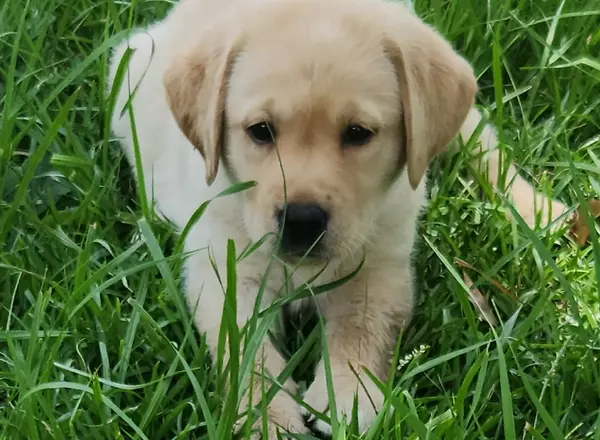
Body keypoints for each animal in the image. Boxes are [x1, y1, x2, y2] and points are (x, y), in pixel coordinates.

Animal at [109, 0, 572, 434]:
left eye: (358, 134)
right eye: (260, 131)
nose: (301, 221)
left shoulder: (383, 265)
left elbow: (363, 328)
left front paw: (348, 396)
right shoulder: (225, 270)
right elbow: (245, 350)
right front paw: (268, 419)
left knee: (482, 142)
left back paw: (538, 210)